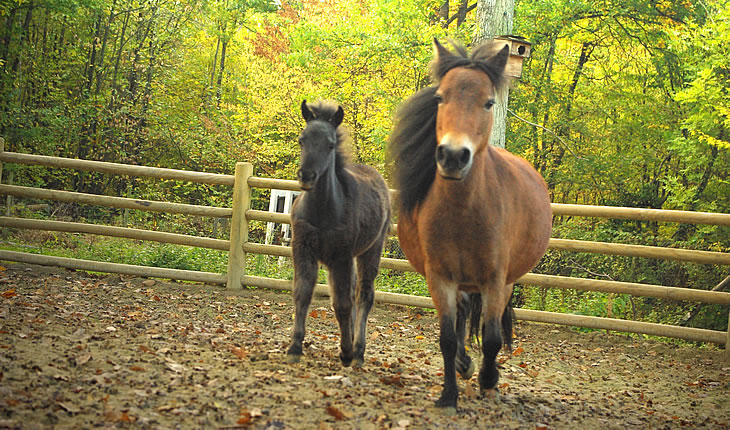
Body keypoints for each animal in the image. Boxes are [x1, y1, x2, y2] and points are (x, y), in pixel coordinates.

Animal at [284, 100, 390, 366]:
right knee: (353, 293)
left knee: (363, 295)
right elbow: (302, 294)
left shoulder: (340, 256)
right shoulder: (302, 250)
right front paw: (294, 347)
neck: (323, 210)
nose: (306, 176)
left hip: (370, 250)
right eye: (302, 139)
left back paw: (358, 351)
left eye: (330, 144)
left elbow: (342, 304)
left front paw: (346, 351)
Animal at [390, 41, 548, 410]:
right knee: (462, 317)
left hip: (504, 283)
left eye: (489, 102)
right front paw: (449, 394)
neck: (463, 213)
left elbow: (491, 339)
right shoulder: (440, 278)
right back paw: (464, 364)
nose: (452, 156)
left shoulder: (494, 280)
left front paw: (490, 380)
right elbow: (448, 338)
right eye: (439, 98)